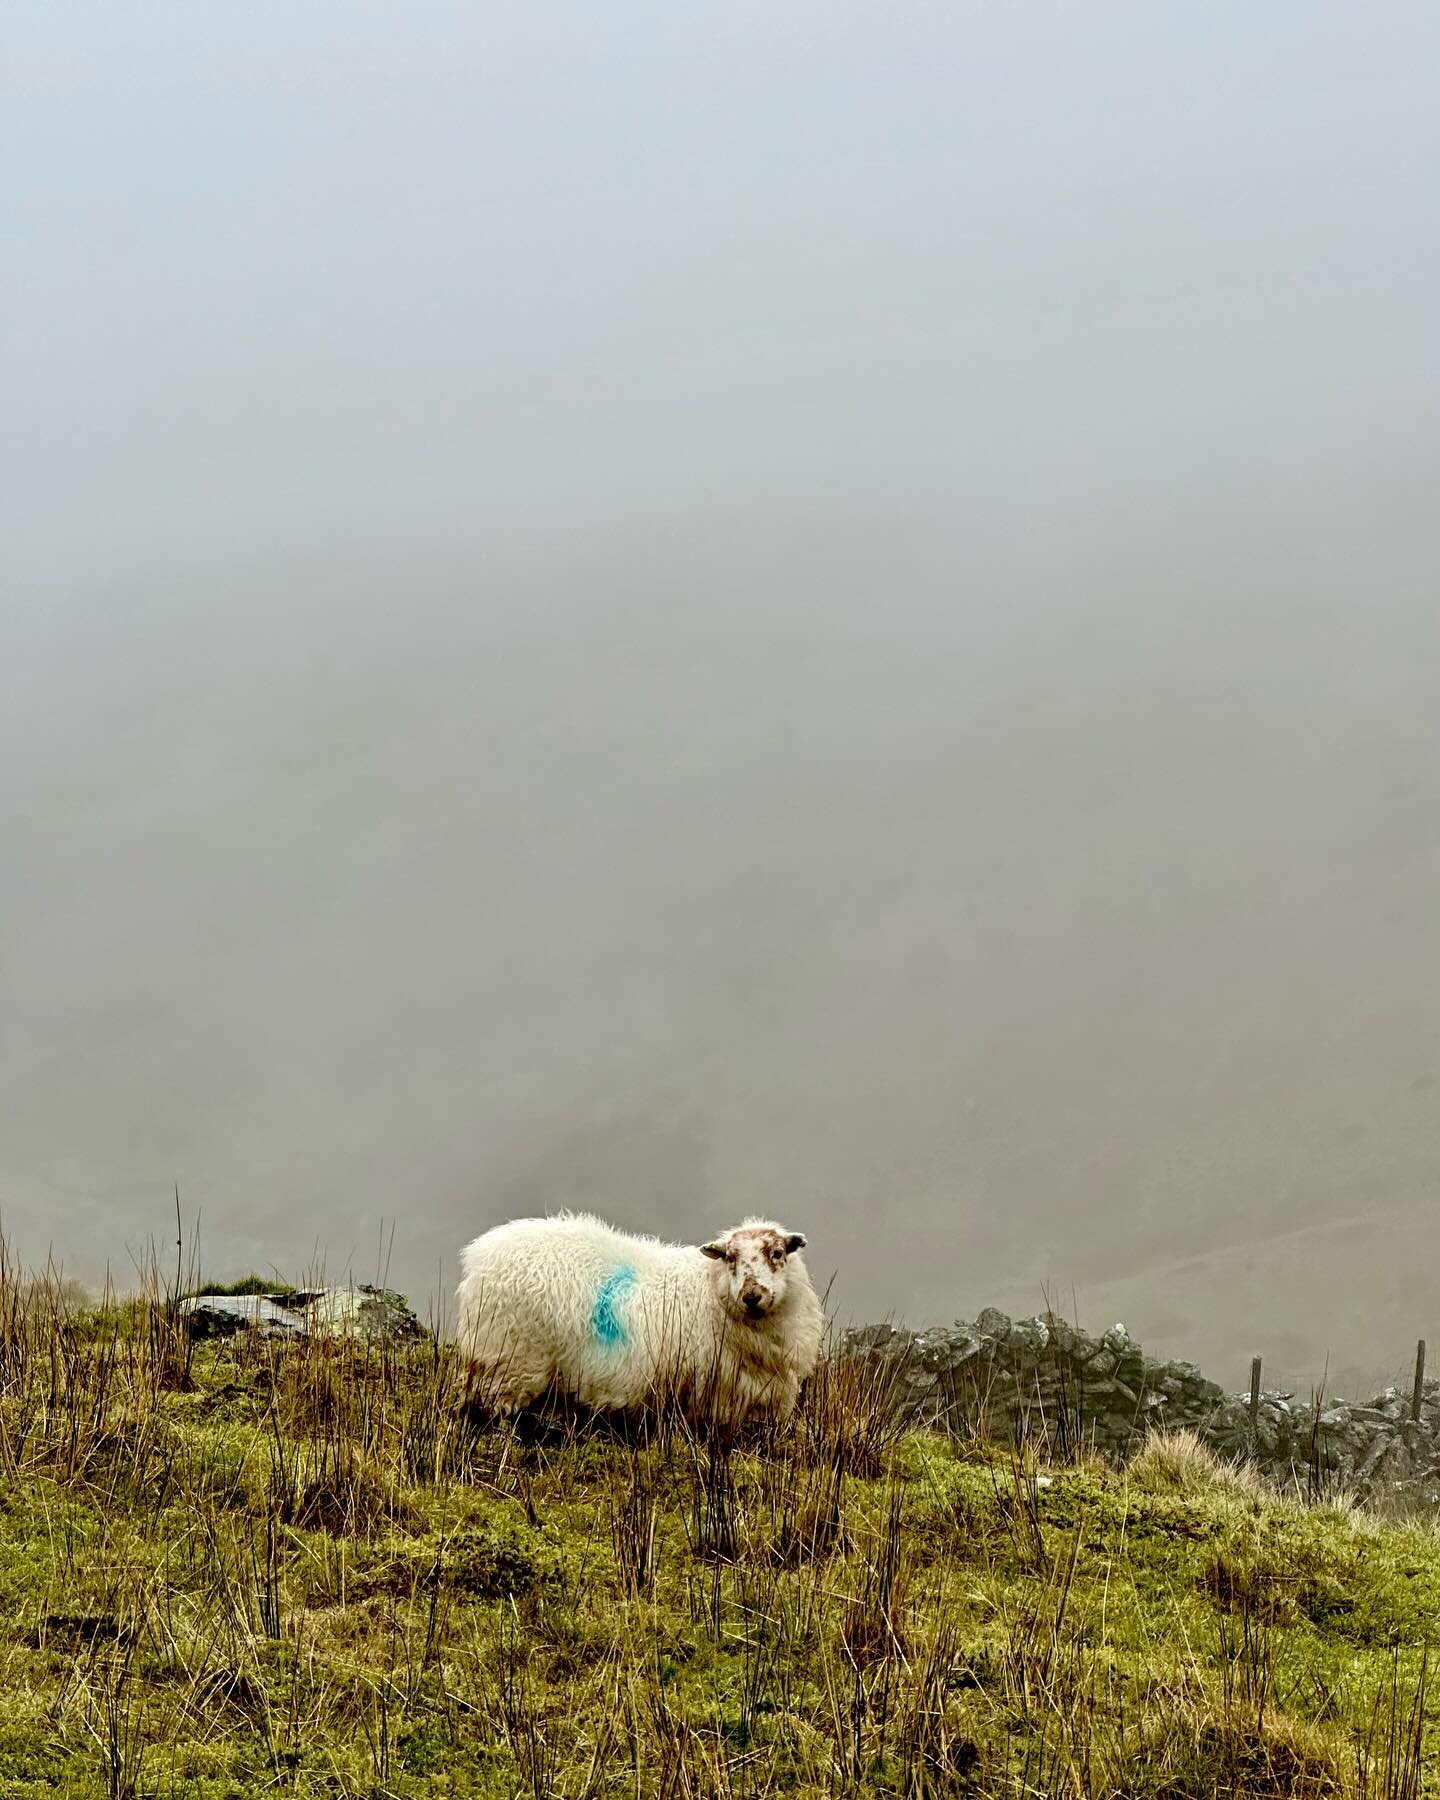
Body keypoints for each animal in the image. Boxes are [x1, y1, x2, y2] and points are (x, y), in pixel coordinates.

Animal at [459, 1216, 820, 1425]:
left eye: (777, 1253)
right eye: (731, 1257)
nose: (752, 1295)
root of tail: (482, 1254)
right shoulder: (716, 1396)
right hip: (511, 1360)